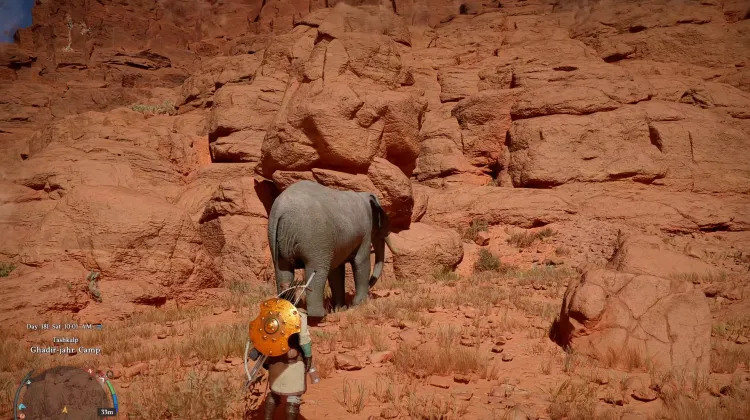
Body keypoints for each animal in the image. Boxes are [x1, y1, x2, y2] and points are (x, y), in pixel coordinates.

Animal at [267, 180, 399, 318]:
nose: (370, 285)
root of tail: (280, 211)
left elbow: (336, 270)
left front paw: (340, 309)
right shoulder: (365, 231)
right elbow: (361, 261)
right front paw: (358, 304)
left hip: (275, 237)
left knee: (283, 272)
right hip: (314, 238)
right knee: (317, 270)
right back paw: (320, 315)